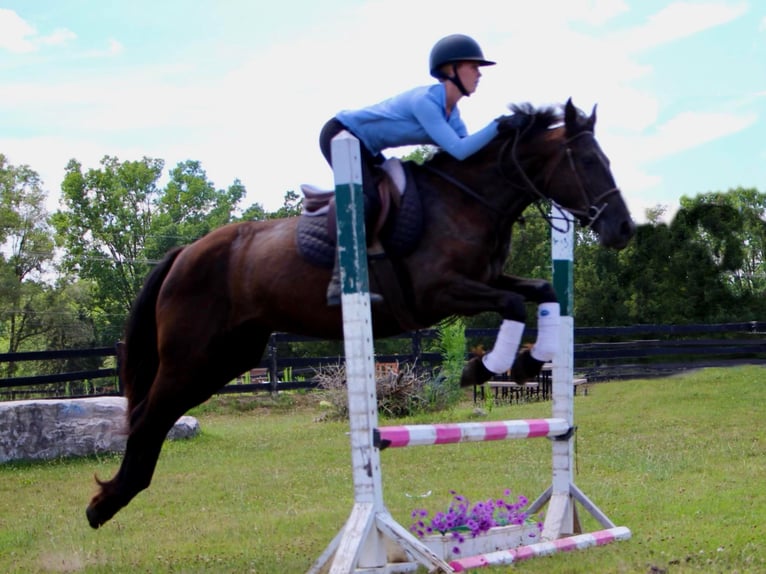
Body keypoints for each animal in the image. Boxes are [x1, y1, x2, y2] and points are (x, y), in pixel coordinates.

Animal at [85, 99, 636, 532]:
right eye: (589, 160)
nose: (623, 229)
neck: (466, 202)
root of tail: (184, 252)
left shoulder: (487, 280)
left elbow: (541, 291)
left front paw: (528, 362)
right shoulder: (438, 293)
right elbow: (512, 304)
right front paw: (484, 367)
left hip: (228, 358)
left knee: (158, 414)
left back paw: (114, 497)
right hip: (192, 357)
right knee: (149, 415)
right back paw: (105, 502)